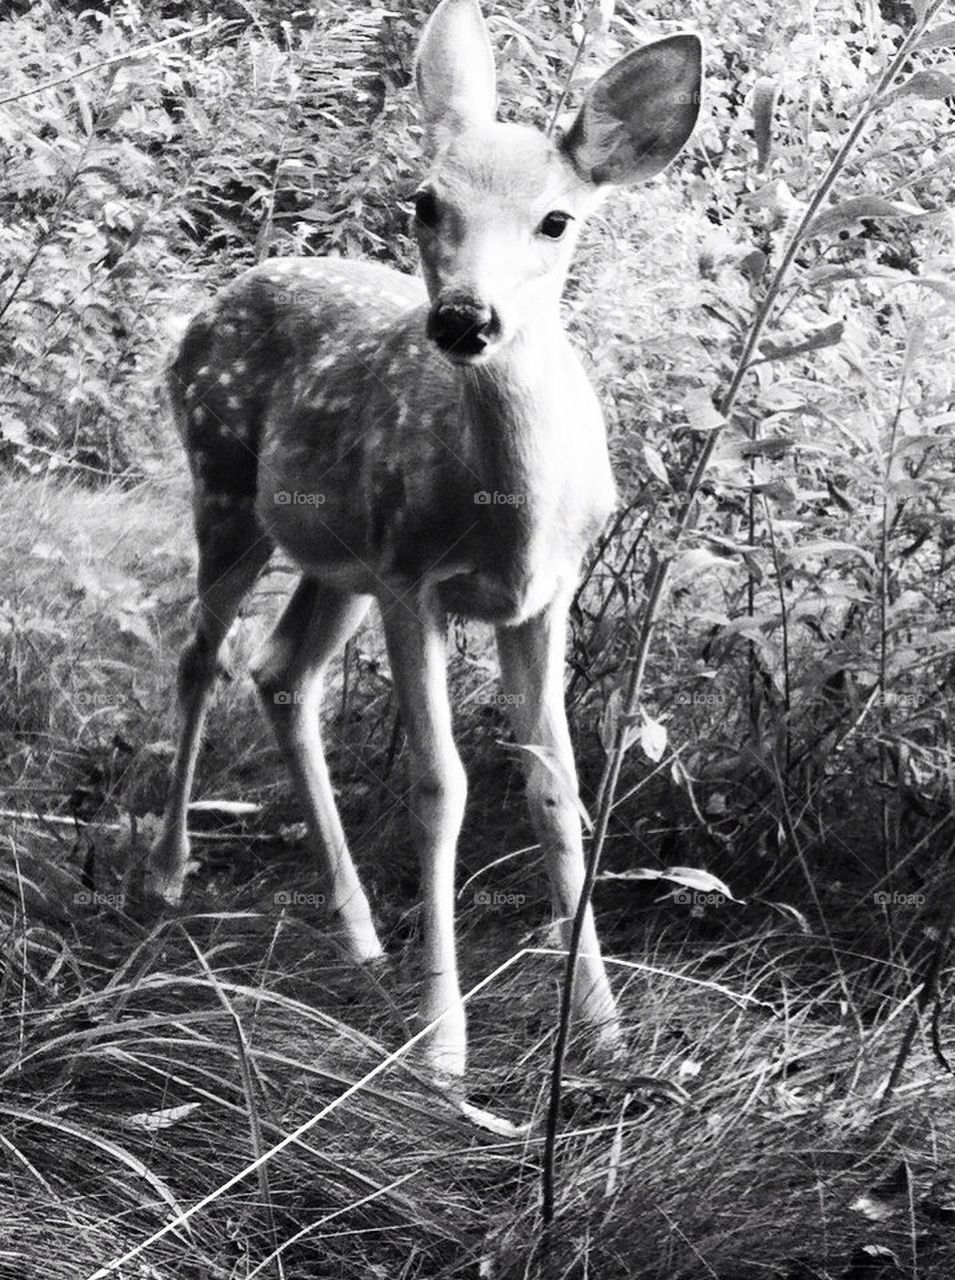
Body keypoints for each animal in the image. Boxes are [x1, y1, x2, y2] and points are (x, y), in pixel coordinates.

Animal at [145, 0, 702, 1079]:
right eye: (425, 201)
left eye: (557, 219)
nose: (464, 318)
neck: (510, 513)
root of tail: (217, 298)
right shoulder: (414, 580)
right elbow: (439, 784)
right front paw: (442, 1045)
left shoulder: (542, 596)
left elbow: (556, 788)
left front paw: (602, 1028)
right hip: (226, 489)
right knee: (199, 656)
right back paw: (163, 871)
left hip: (337, 559)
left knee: (280, 670)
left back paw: (359, 931)